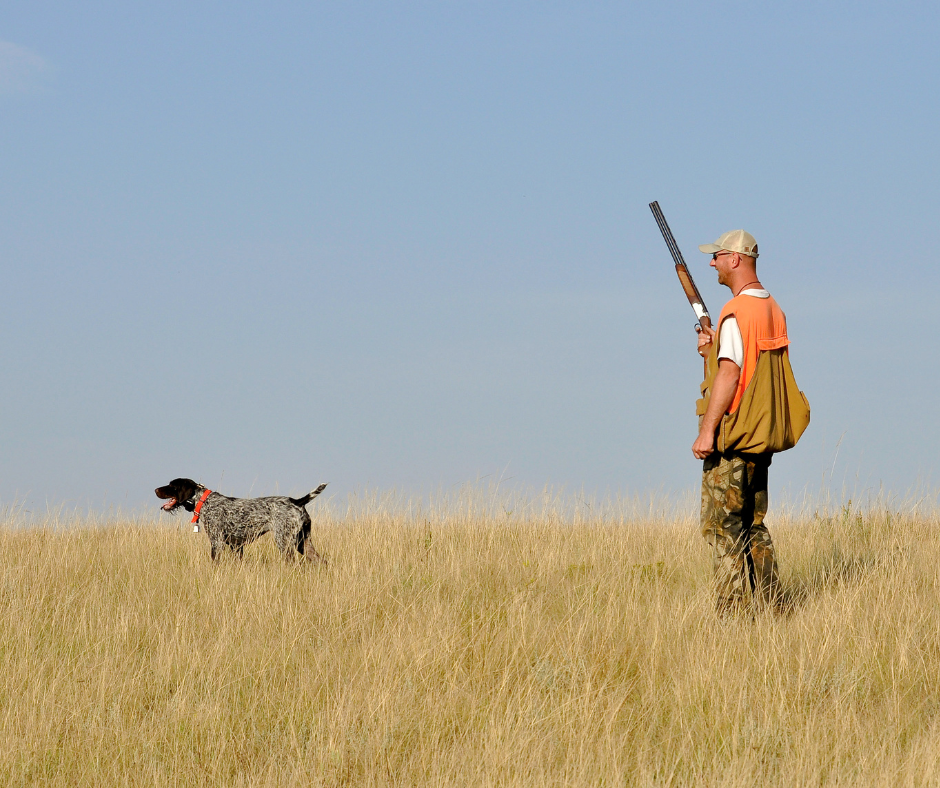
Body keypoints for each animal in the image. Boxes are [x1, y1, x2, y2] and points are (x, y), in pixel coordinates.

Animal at [156, 478, 328, 564]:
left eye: (171, 485)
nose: (155, 489)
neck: (204, 502)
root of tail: (297, 501)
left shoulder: (216, 543)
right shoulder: (236, 547)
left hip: (284, 542)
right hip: (304, 543)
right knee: (322, 561)